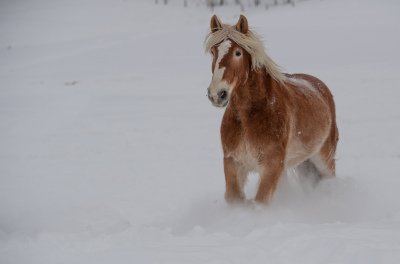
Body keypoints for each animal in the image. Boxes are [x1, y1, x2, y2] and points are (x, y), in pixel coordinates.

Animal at [205, 14, 340, 204]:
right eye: (213, 52)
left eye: (238, 53)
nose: (217, 94)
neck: (249, 117)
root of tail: (322, 88)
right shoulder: (233, 162)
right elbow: (234, 198)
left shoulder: (272, 165)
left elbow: (260, 202)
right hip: (302, 163)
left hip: (324, 158)